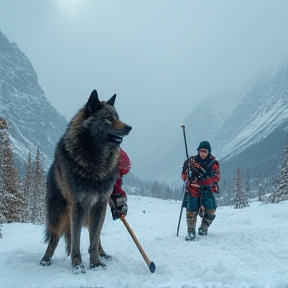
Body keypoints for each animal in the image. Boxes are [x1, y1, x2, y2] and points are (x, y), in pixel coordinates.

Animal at [40, 89, 132, 272]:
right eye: (108, 118)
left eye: (117, 117)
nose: (129, 127)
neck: (95, 161)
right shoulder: (77, 204)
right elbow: (76, 240)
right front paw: (77, 265)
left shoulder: (100, 204)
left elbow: (93, 240)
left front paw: (95, 262)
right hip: (59, 215)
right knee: (54, 239)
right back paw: (45, 260)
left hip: (96, 214)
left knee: (96, 238)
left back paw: (103, 254)